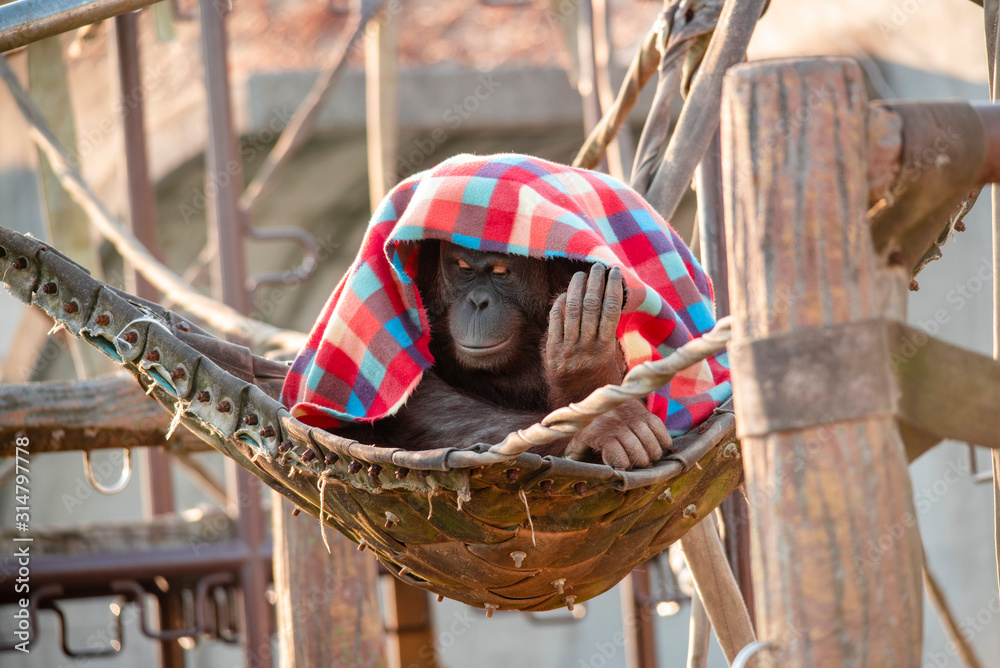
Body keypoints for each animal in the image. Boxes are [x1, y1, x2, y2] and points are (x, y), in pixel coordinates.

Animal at [335, 240, 672, 470]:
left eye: (500, 272)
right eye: (463, 268)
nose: (478, 301)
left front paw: (590, 372)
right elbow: (412, 397)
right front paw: (602, 411)